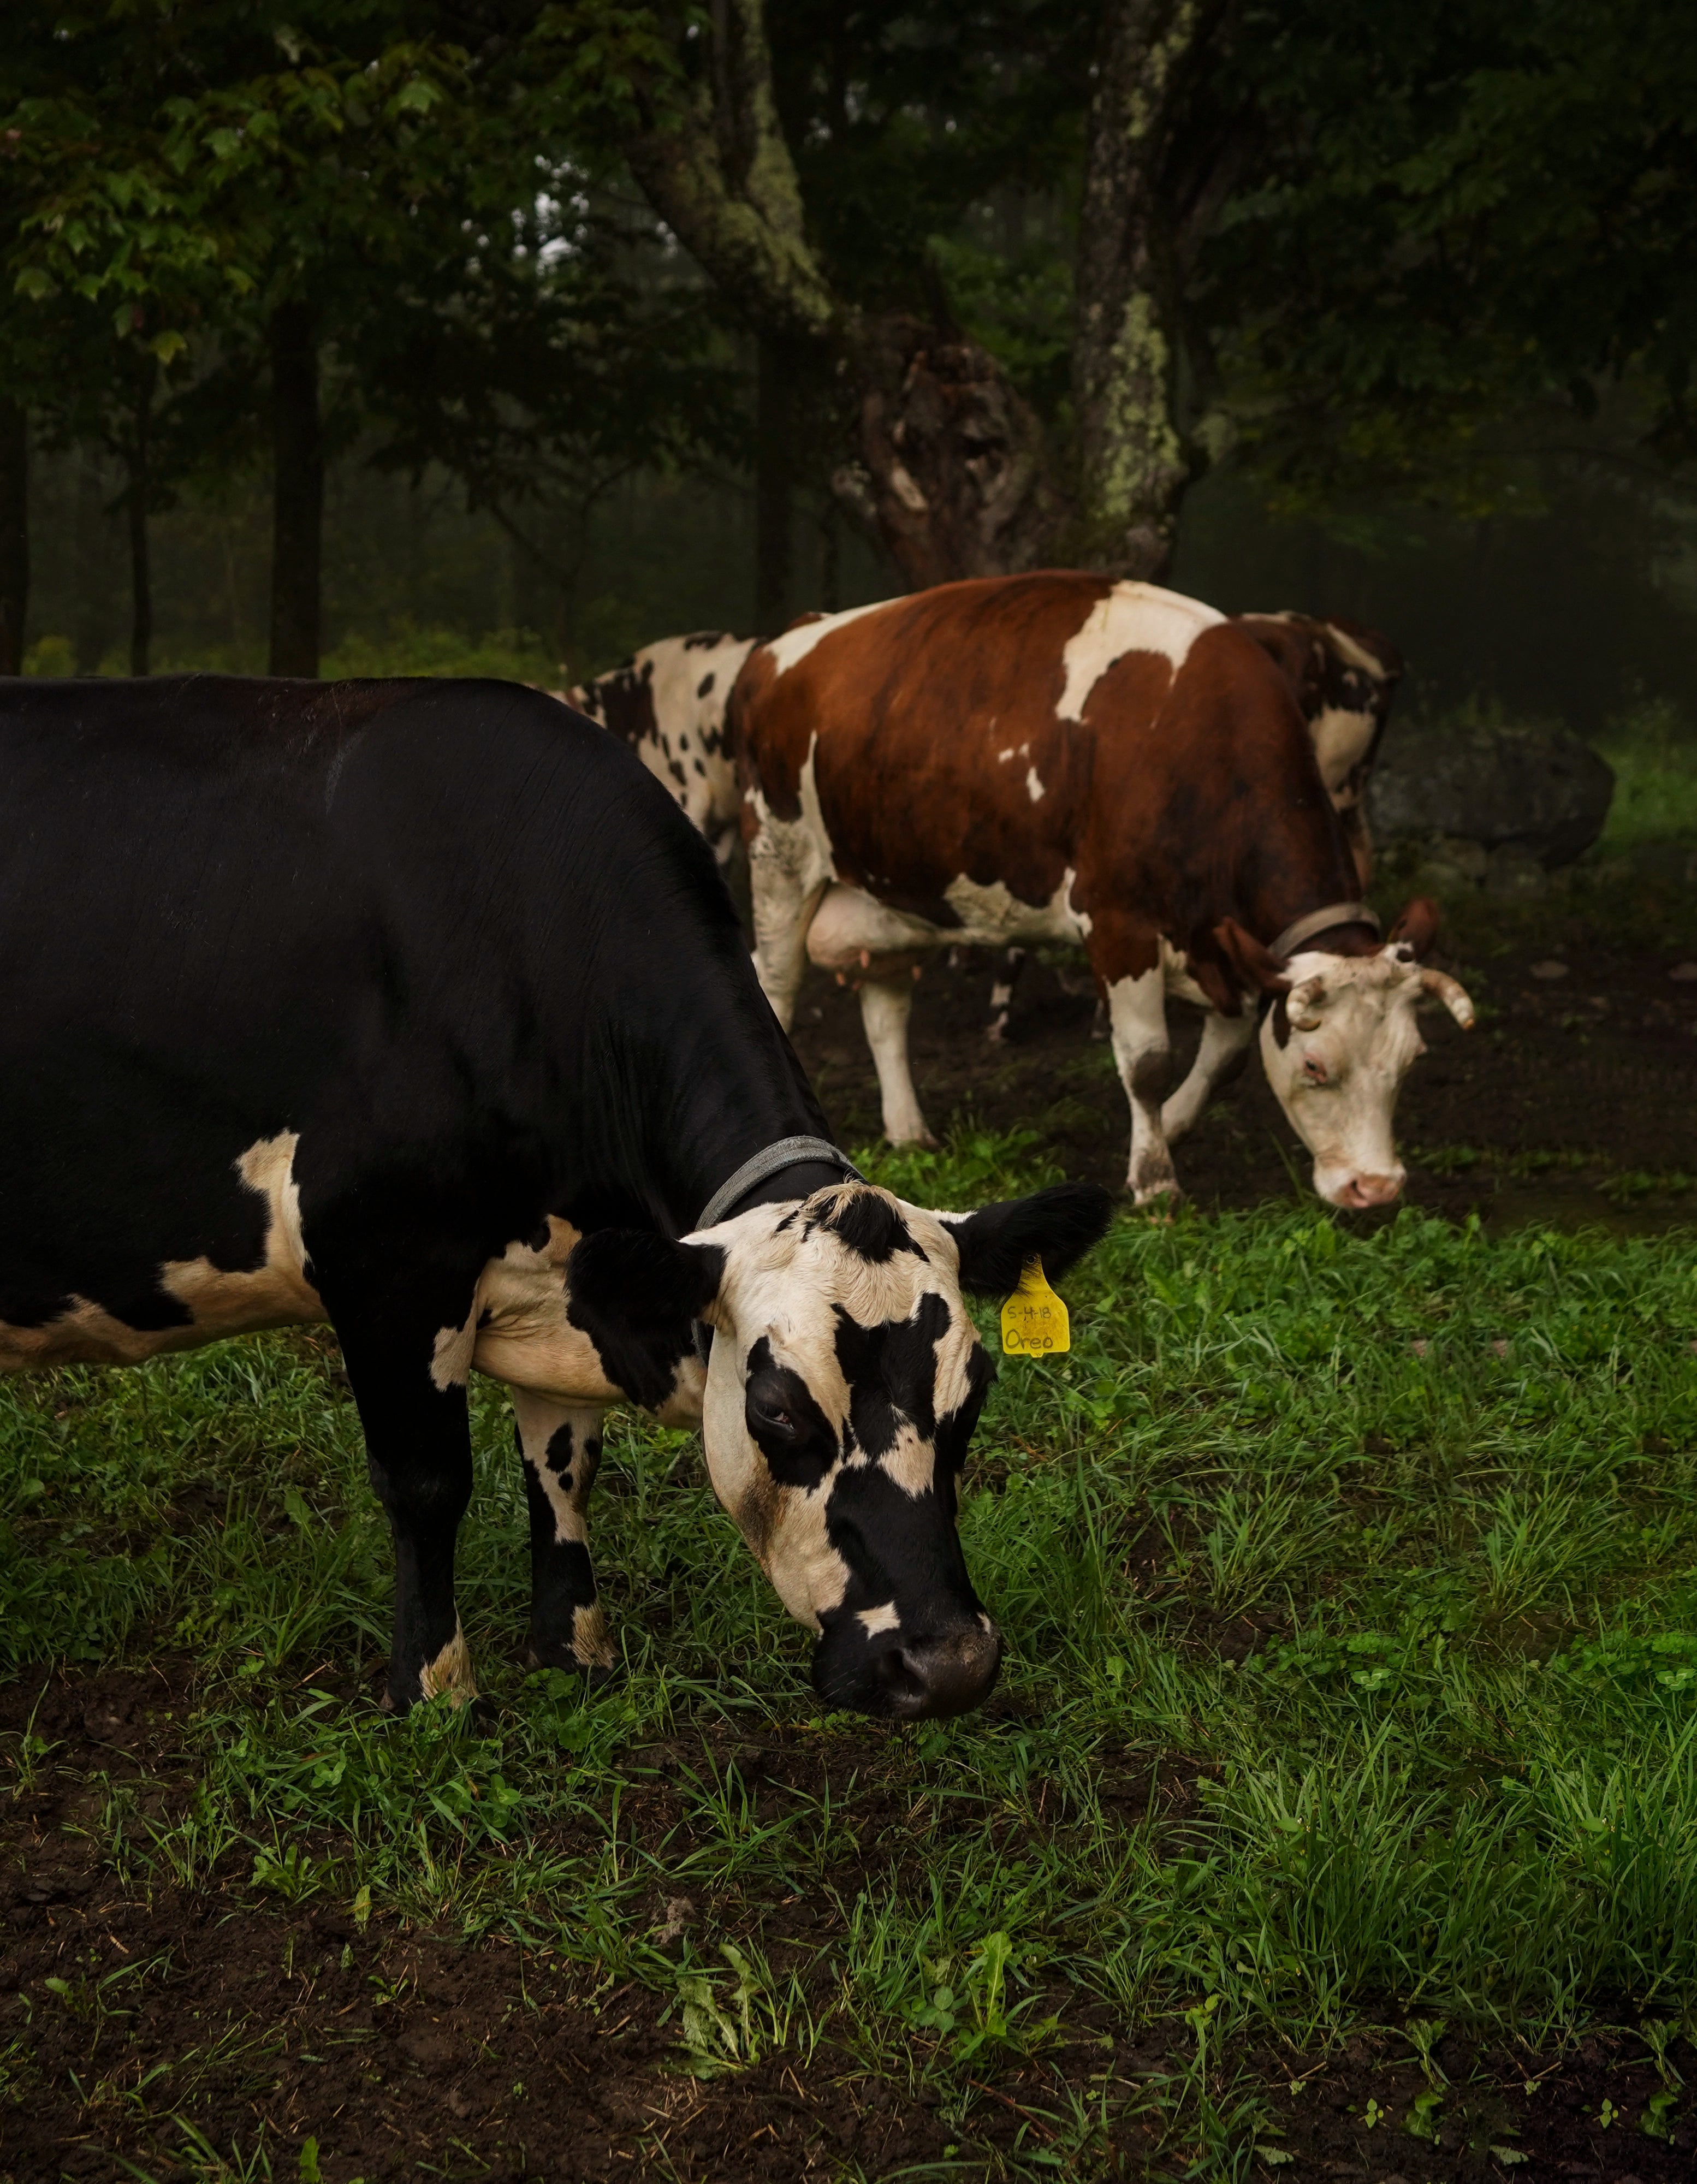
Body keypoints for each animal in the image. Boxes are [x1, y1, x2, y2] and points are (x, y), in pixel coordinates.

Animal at [0, 673, 1114, 1712]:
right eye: (778, 1409)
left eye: (974, 1392)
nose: (949, 1664)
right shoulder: (387, 1262)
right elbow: (427, 1482)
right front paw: (437, 1693)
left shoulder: (566, 1277)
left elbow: (563, 1463)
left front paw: (576, 1654)